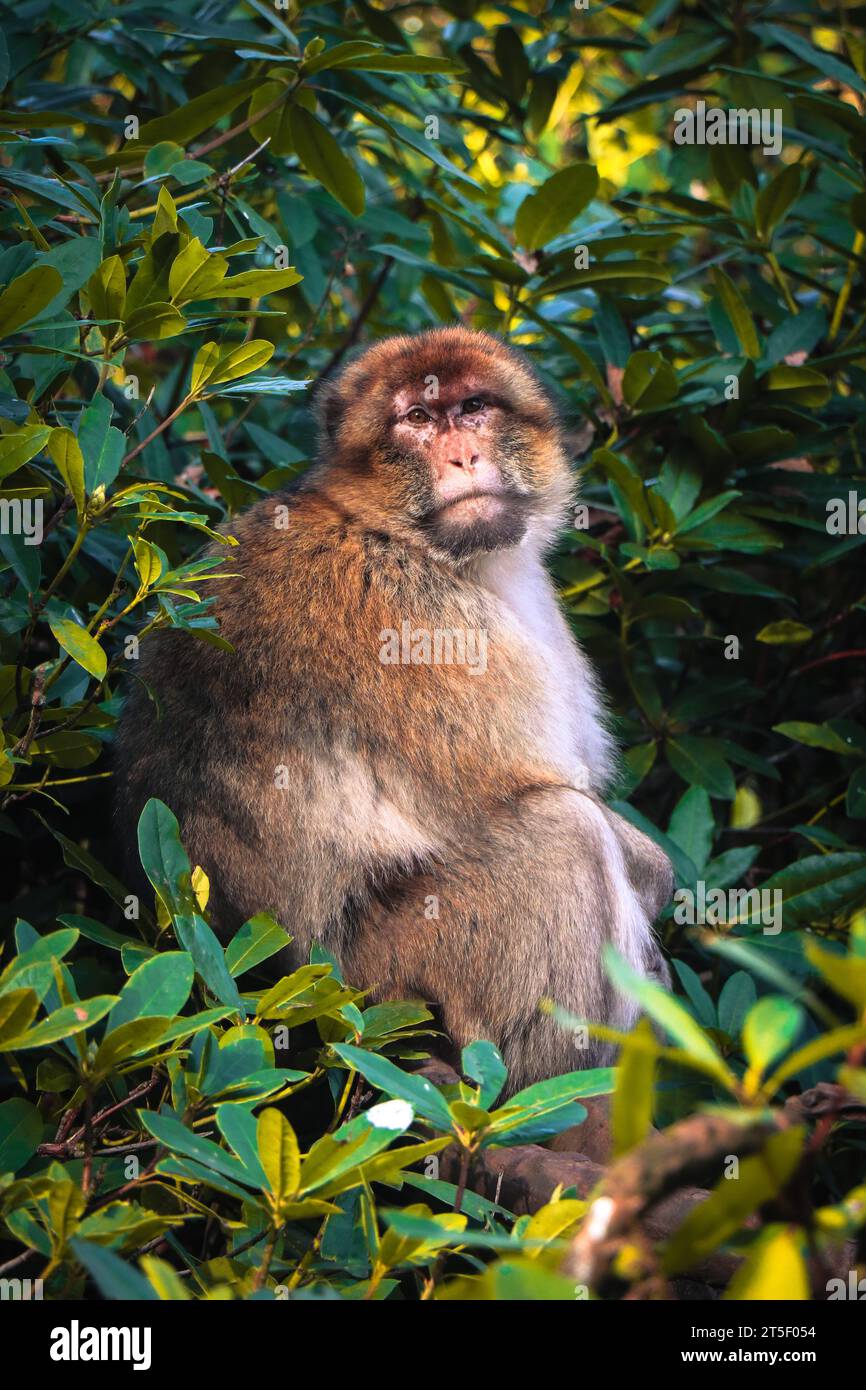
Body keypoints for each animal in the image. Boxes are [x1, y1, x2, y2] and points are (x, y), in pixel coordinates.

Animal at [115, 328, 675, 1095]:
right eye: (416, 419)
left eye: (472, 408)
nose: (463, 456)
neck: (403, 539)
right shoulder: (418, 622)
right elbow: (518, 791)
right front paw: (660, 881)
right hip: (394, 972)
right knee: (563, 833)